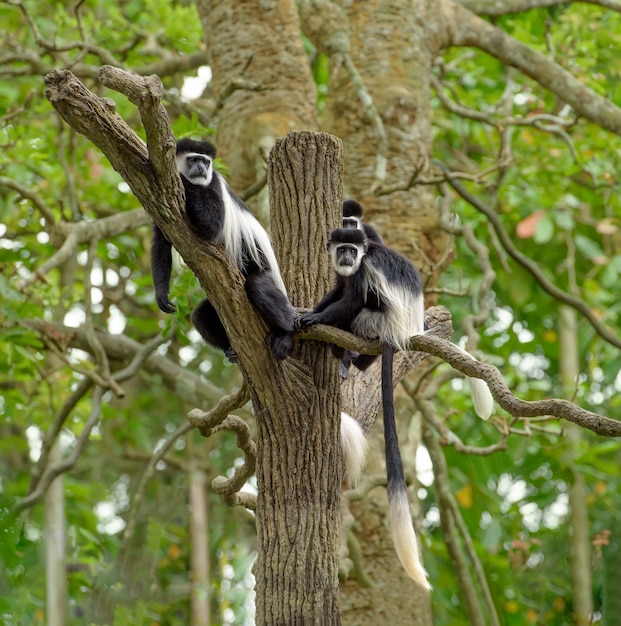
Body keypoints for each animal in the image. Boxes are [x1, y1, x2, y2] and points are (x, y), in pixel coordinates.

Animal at [151, 138, 294, 358]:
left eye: (206, 162)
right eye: (194, 160)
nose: (202, 169)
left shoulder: (214, 184)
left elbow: (212, 224)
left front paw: (182, 179)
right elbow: (161, 243)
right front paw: (161, 295)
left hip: (265, 273)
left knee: (258, 286)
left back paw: (285, 335)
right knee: (200, 315)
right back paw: (231, 351)